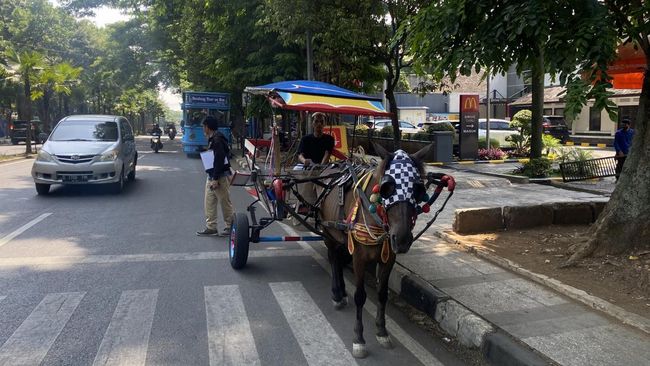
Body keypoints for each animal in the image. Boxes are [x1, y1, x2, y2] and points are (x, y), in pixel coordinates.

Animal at [316, 142, 430, 358]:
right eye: (386, 188)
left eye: (418, 189)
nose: (402, 239)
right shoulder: (359, 257)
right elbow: (360, 296)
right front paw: (359, 339)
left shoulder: (389, 257)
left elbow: (382, 294)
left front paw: (382, 331)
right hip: (328, 232)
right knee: (334, 259)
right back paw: (336, 294)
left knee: (339, 259)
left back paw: (342, 291)